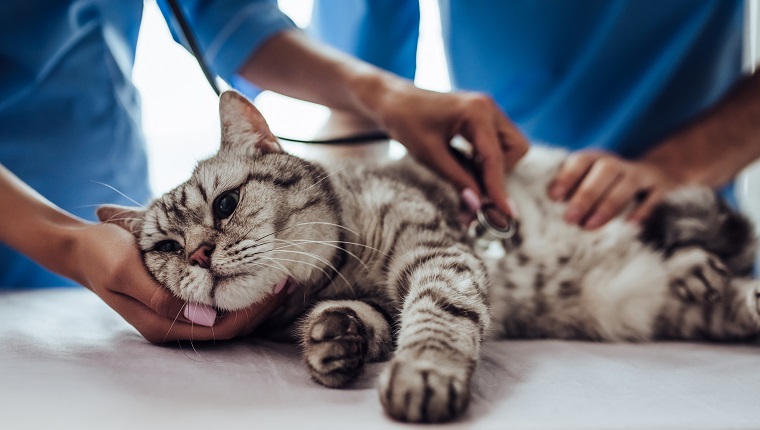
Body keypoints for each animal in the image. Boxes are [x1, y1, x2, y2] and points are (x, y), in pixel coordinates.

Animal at [98, 92, 760, 424]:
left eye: (226, 203)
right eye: (166, 248)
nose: (199, 253)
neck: (338, 275)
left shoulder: (438, 253)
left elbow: (436, 314)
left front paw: (425, 372)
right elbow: (364, 322)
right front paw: (333, 338)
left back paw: (695, 260)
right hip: (637, 300)